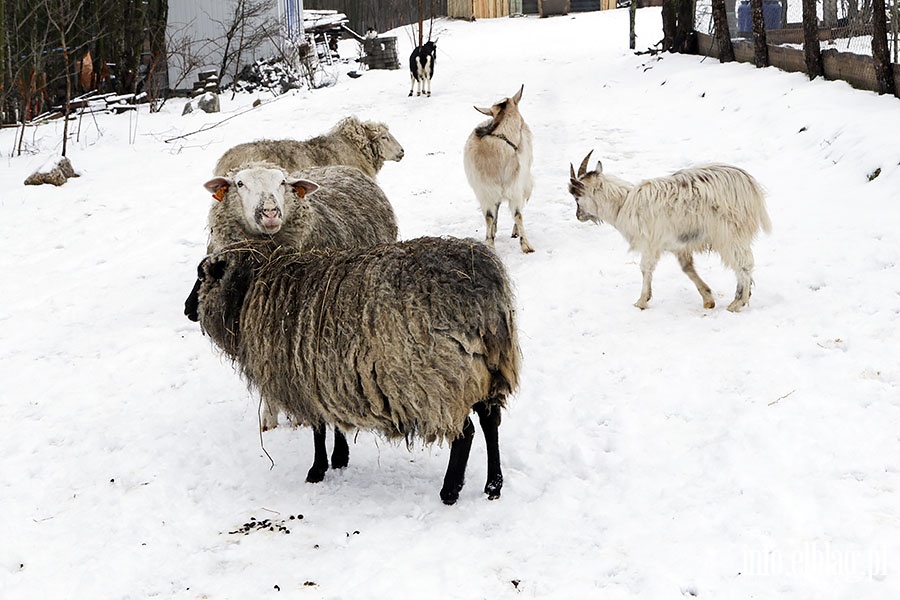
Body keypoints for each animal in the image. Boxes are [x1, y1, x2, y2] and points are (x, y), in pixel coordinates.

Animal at [186, 237, 520, 504]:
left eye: (202, 277)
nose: (187, 309)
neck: (250, 290)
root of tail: (482, 289)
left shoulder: (303, 379)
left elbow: (318, 429)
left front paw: (317, 469)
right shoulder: (330, 377)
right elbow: (334, 422)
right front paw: (340, 458)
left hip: (439, 381)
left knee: (466, 434)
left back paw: (450, 491)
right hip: (486, 370)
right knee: (491, 423)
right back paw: (494, 485)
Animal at [464, 85, 536, 253]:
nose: (524, 124)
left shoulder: (515, 189)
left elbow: (518, 215)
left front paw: (526, 245)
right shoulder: (485, 192)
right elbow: (489, 217)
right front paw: (489, 243)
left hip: (524, 180)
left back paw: (515, 231)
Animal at [568, 150, 772, 312]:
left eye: (577, 197)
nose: (578, 216)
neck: (622, 203)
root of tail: (750, 185)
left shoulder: (649, 243)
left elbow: (645, 268)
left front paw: (641, 301)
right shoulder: (679, 245)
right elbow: (687, 268)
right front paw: (708, 299)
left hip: (729, 233)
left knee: (744, 263)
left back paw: (738, 303)